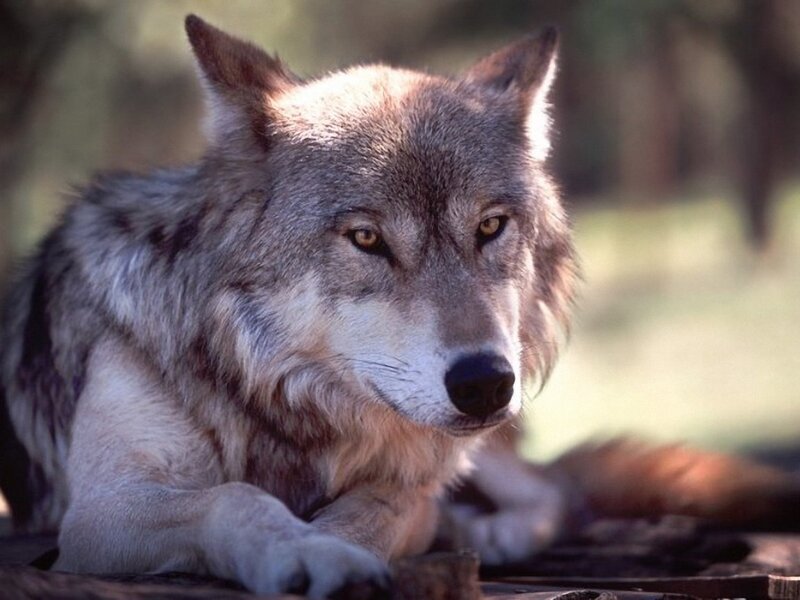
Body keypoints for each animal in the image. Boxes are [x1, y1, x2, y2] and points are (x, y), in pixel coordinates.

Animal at [1, 15, 799, 598]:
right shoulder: (99, 514)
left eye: (490, 227)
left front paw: (341, 547)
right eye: (367, 239)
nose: (484, 383)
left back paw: (484, 533)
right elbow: (234, 498)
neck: (285, 402)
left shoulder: (410, 482)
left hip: (484, 449)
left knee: (557, 489)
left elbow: (376, 511)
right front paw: (307, 552)